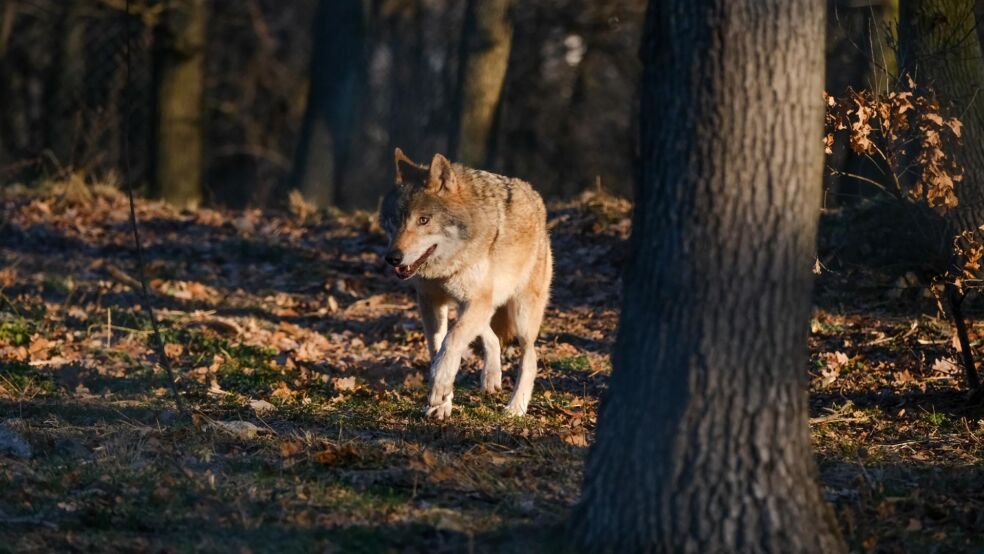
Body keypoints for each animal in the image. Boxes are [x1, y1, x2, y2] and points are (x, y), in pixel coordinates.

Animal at [378, 149, 552, 416]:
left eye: (424, 220)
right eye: (395, 220)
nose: (392, 258)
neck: (446, 267)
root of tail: (535, 195)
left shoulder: (477, 300)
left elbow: (450, 342)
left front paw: (440, 386)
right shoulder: (430, 301)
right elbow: (438, 347)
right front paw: (442, 404)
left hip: (521, 315)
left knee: (530, 357)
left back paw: (516, 406)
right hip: (473, 304)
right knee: (490, 336)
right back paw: (491, 377)